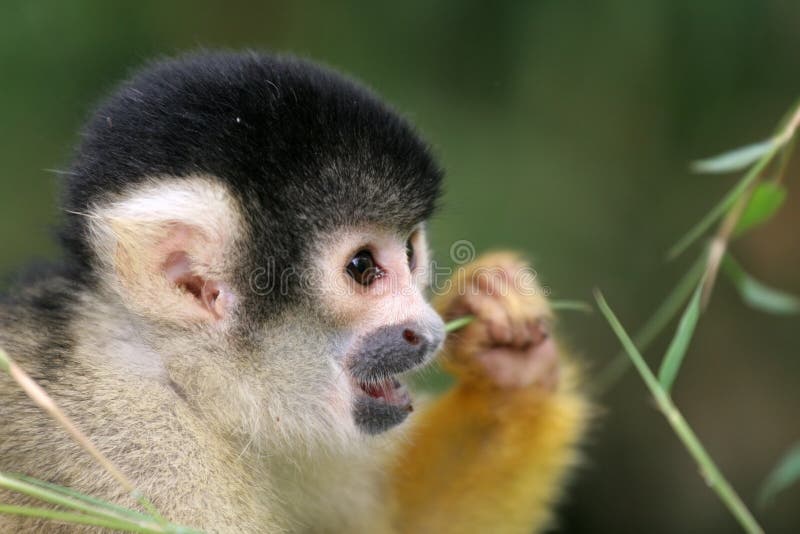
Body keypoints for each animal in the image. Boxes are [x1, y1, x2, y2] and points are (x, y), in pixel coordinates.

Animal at [0, 52, 588, 532]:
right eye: (362, 267)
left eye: (410, 250)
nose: (428, 332)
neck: (184, 381)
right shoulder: (147, 461)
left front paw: (507, 359)